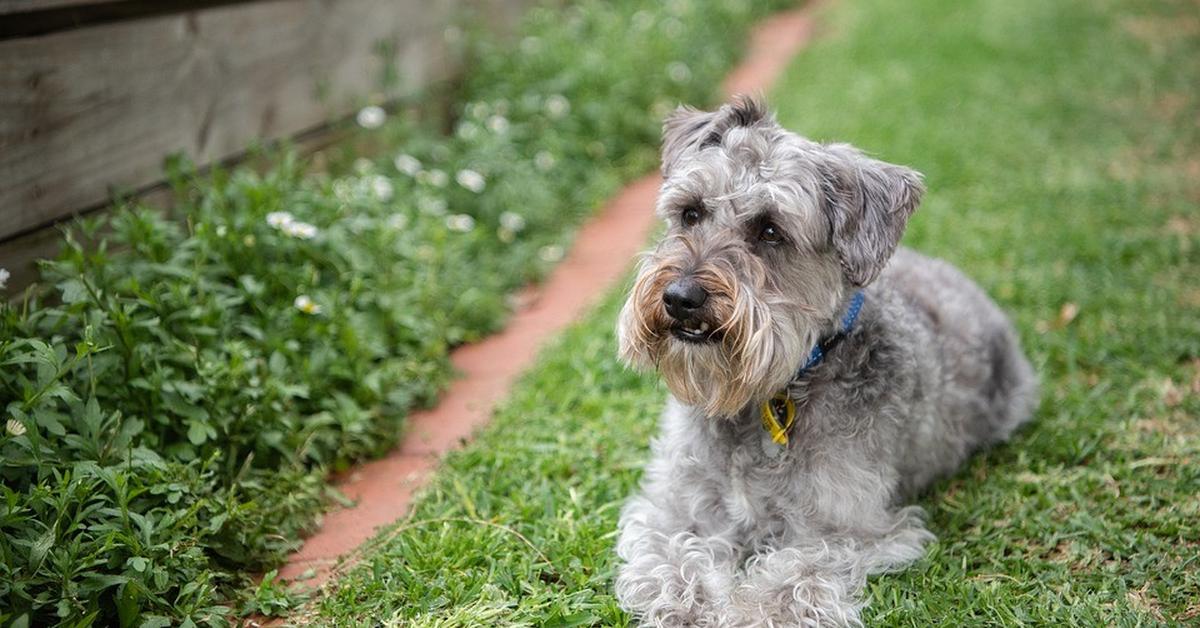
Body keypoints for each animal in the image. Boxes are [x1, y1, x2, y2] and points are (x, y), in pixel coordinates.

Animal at [614, 96, 1036, 624]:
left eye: (770, 230)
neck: (768, 397)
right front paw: (692, 607)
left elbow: (791, 576)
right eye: (690, 212)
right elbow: (674, 557)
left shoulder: (849, 528)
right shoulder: (672, 506)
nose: (680, 297)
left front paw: (743, 611)